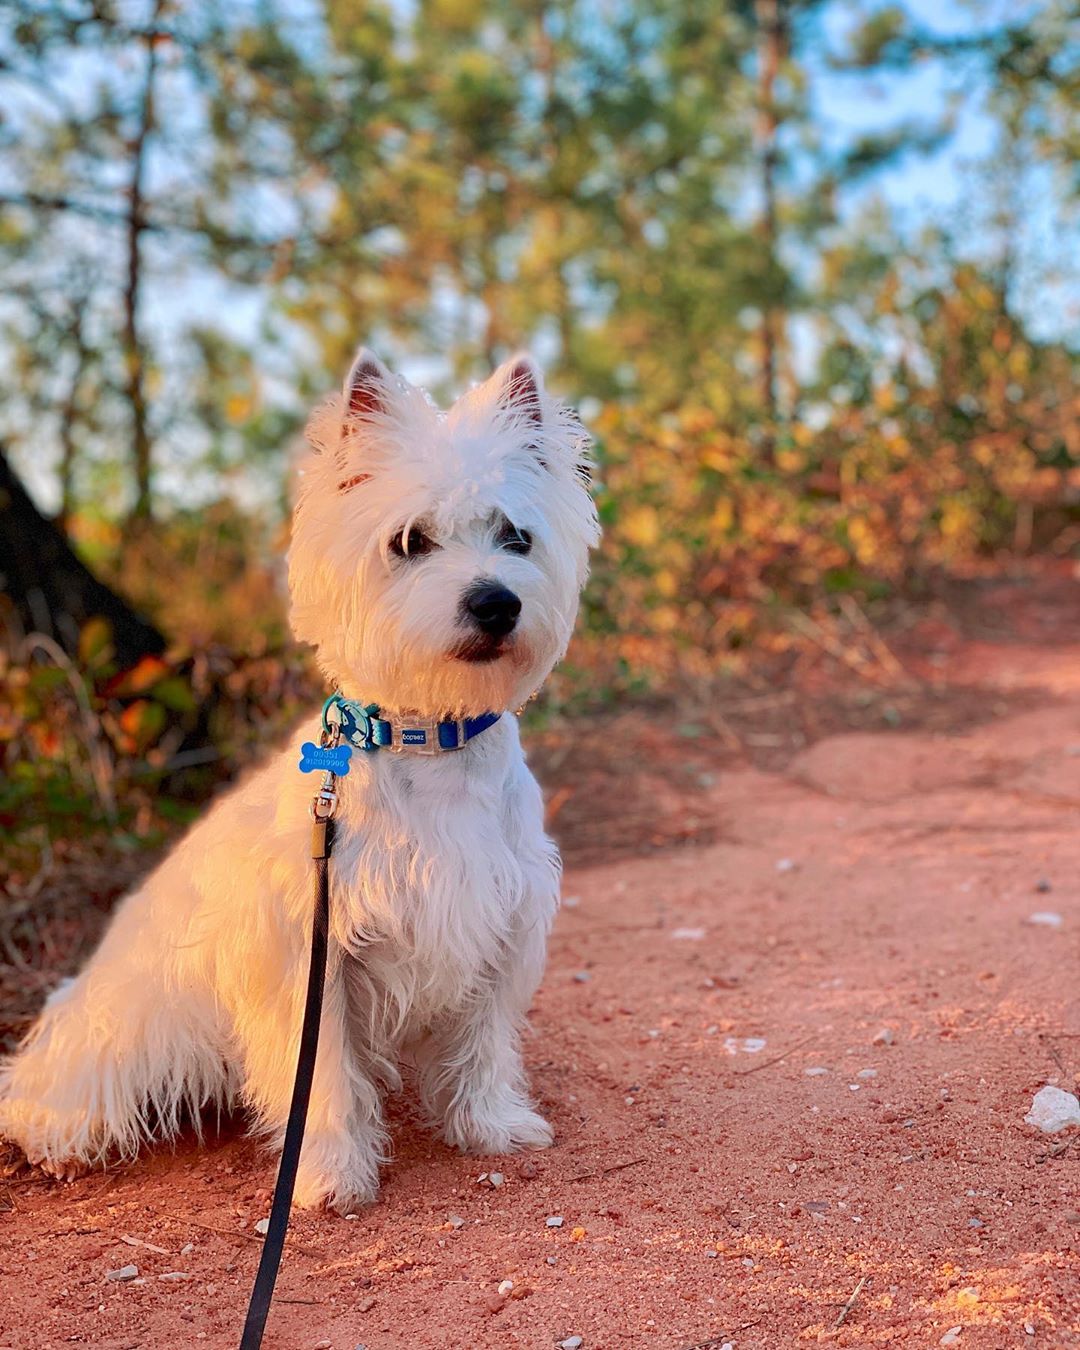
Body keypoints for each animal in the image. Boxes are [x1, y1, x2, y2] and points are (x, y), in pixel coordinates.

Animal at [0, 351, 599, 1215]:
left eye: (516, 537)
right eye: (410, 541)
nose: (496, 603)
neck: (432, 744)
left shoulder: (499, 918)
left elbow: (483, 1042)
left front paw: (491, 1125)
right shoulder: (312, 958)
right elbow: (326, 1081)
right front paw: (333, 1176)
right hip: (125, 1026)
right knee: (53, 1085)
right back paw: (58, 1138)